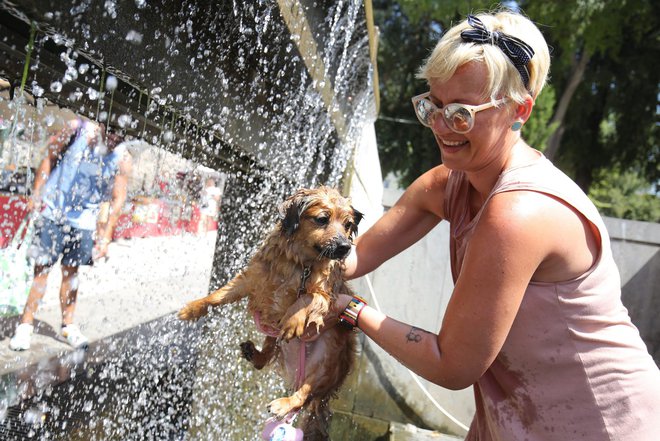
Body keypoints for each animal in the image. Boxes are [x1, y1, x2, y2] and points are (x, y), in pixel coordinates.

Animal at [178, 185, 364, 436]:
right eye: (322, 219)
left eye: (348, 225)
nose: (345, 247)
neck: (301, 264)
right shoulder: (253, 278)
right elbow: (218, 295)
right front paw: (194, 308)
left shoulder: (328, 295)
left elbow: (307, 297)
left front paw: (293, 321)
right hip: (271, 334)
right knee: (264, 358)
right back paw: (253, 352)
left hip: (327, 359)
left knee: (304, 395)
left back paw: (283, 403)